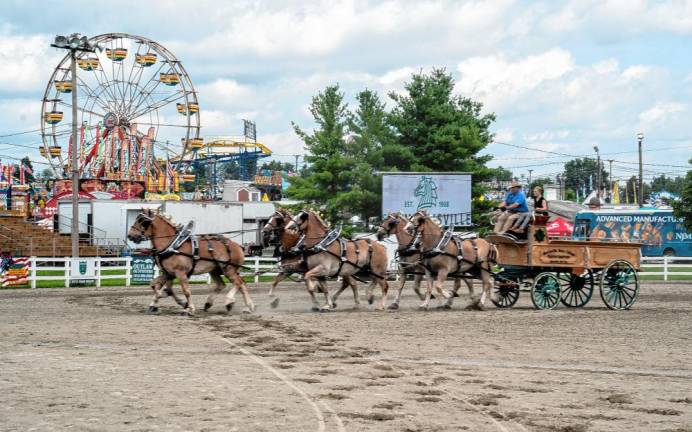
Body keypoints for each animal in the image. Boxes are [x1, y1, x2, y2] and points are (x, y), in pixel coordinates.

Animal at [125, 208, 255, 314]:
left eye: (142, 221)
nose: (130, 235)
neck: (173, 244)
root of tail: (237, 245)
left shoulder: (180, 273)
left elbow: (186, 291)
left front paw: (189, 308)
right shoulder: (168, 273)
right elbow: (154, 285)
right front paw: (162, 301)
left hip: (228, 269)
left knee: (239, 283)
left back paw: (231, 302)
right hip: (215, 270)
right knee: (225, 284)